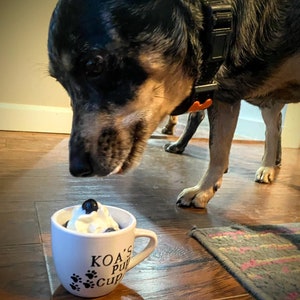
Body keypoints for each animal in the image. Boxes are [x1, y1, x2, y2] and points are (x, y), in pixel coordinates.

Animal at [48, 0, 298, 209]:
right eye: (60, 81)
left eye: (93, 65)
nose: (77, 169)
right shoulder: (222, 97)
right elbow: (217, 150)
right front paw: (203, 191)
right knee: (273, 127)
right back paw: (269, 165)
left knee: (272, 127)